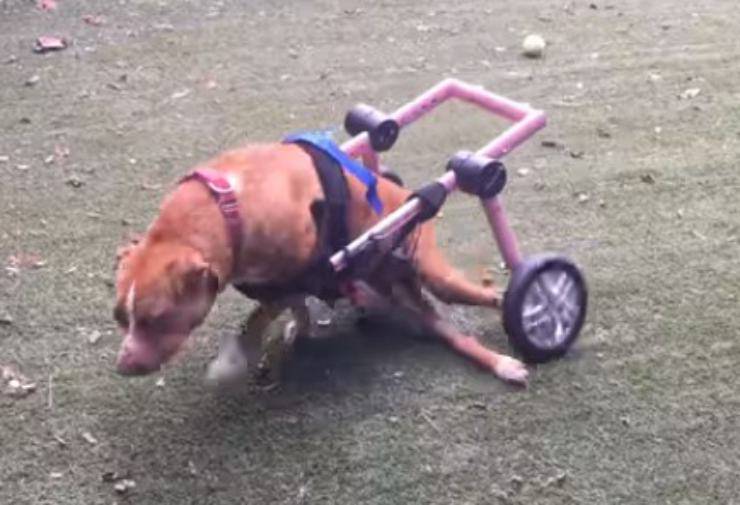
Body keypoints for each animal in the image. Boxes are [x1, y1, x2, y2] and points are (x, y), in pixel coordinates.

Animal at [112, 144, 528, 384]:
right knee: (450, 333)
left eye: (157, 319)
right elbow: (285, 309)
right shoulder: (283, 284)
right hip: (406, 297)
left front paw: (231, 361)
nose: (124, 364)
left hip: (431, 269)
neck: (224, 203)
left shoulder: (294, 275)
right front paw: (297, 331)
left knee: (485, 295)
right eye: (121, 318)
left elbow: (253, 324)